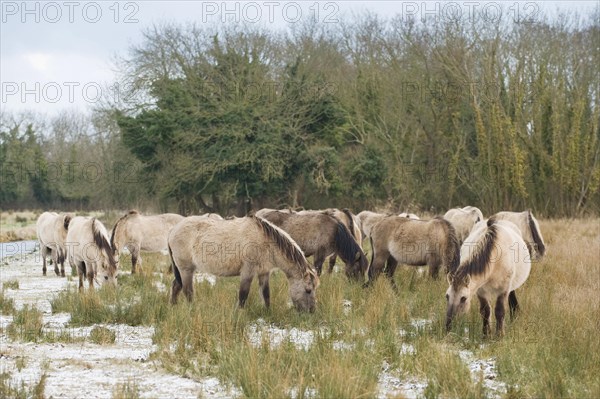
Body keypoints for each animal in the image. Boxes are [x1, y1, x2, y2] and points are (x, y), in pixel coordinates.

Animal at [169, 216, 318, 312]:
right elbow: (243, 295)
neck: (265, 240)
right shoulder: (248, 271)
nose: (311, 311)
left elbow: (266, 294)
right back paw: (191, 309)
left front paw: (268, 312)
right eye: (308, 290)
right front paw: (239, 314)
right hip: (186, 269)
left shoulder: (264, 272)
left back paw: (173, 306)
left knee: (176, 286)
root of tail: (173, 230)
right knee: (187, 291)